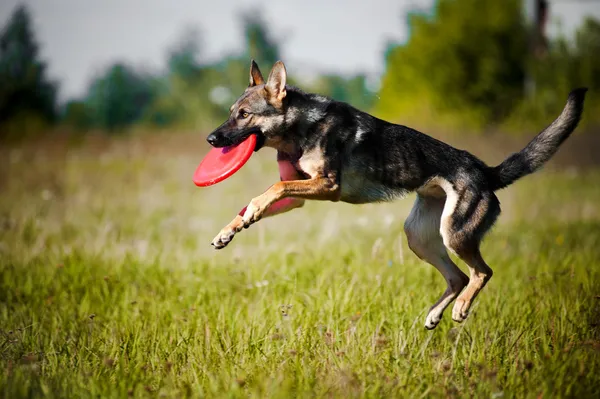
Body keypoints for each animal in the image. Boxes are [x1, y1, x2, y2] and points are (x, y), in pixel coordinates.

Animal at [205, 58, 584, 328]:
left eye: (244, 115)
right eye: (230, 113)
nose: (211, 139)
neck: (302, 126)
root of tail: (485, 172)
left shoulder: (326, 186)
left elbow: (273, 187)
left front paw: (247, 216)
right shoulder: (298, 196)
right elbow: (257, 200)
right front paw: (228, 231)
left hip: (455, 235)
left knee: (482, 272)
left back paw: (461, 309)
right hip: (419, 237)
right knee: (459, 276)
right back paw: (435, 314)